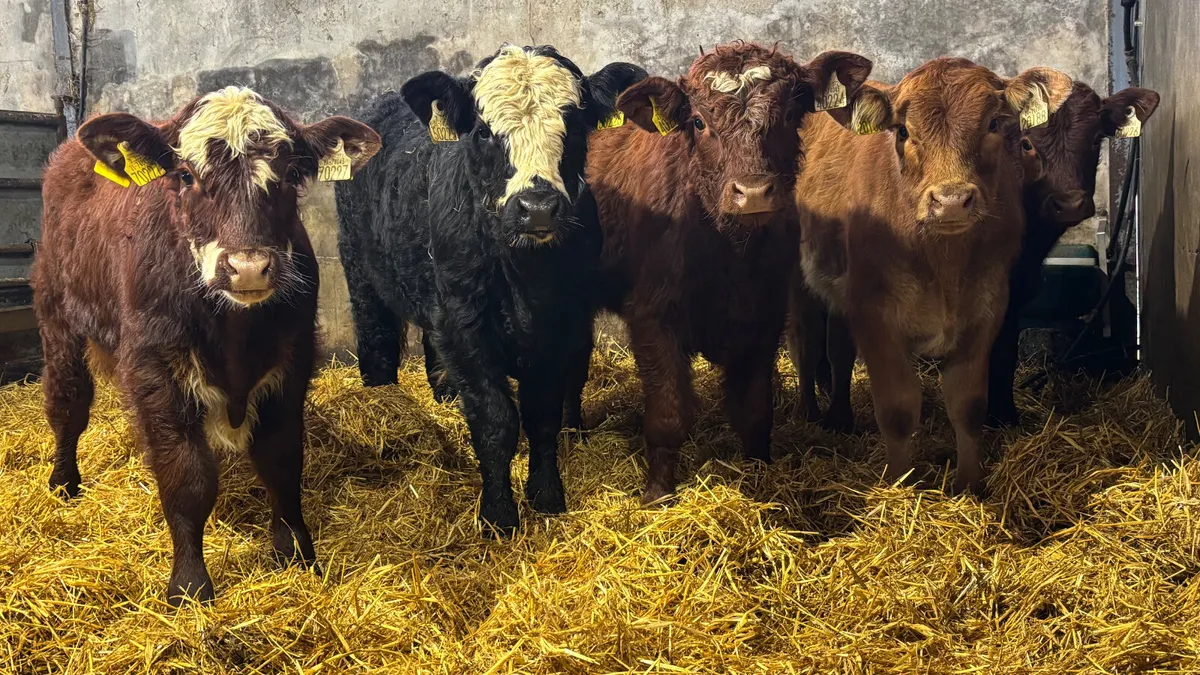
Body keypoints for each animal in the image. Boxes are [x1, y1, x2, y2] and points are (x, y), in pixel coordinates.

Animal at [33, 86, 381, 604]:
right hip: (57, 315)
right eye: (185, 175)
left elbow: (282, 461)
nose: (248, 267)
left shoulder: (292, 361)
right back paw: (64, 482)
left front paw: (297, 554)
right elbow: (186, 476)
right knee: (68, 403)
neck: (234, 335)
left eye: (291, 174)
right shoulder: (156, 369)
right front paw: (189, 585)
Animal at [334, 44, 646, 535]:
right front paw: (498, 515)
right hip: (360, 270)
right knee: (377, 343)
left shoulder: (558, 326)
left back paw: (444, 396)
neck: (526, 277)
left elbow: (542, 415)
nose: (537, 207)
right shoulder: (467, 327)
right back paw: (383, 406)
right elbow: (495, 420)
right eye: (483, 132)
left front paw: (547, 498)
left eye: (576, 125)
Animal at [572, 42, 873, 503]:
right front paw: (658, 494)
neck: (729, 254)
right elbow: (667, 414)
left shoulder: (765, 317)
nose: (753, 193)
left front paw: (759, 472)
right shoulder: (653, 316)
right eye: (698, 121)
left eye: (790, 113)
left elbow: (754, 411)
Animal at [789, 58, 1074, 495]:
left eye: (993, 123)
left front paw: (969, 485)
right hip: (801, 284)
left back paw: (839, 419)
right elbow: (897, 408)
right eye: (903, 131)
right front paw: (898, 484)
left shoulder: (987, 311)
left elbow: (969, 405)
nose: (951, 201)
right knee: (804, 345)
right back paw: (810, 414)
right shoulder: (874, 316)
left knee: (837, 350)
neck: (945, 266)